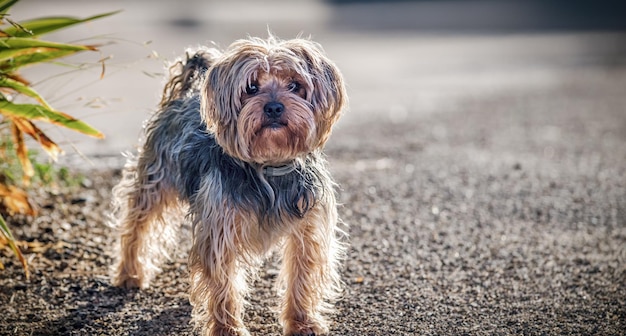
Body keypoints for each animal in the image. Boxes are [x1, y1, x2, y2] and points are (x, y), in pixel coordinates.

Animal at [111, 34, 346, 336]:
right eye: (251, 87)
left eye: (295, 85)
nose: (273, 107)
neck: (270, 166)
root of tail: (182, 96)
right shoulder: (219, 227)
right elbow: (223, 283)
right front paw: (227, 329)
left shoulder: (309, 228)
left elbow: (301, 275)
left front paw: (302, 322)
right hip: (155, 179)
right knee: (137, 225)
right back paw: (130, 272)